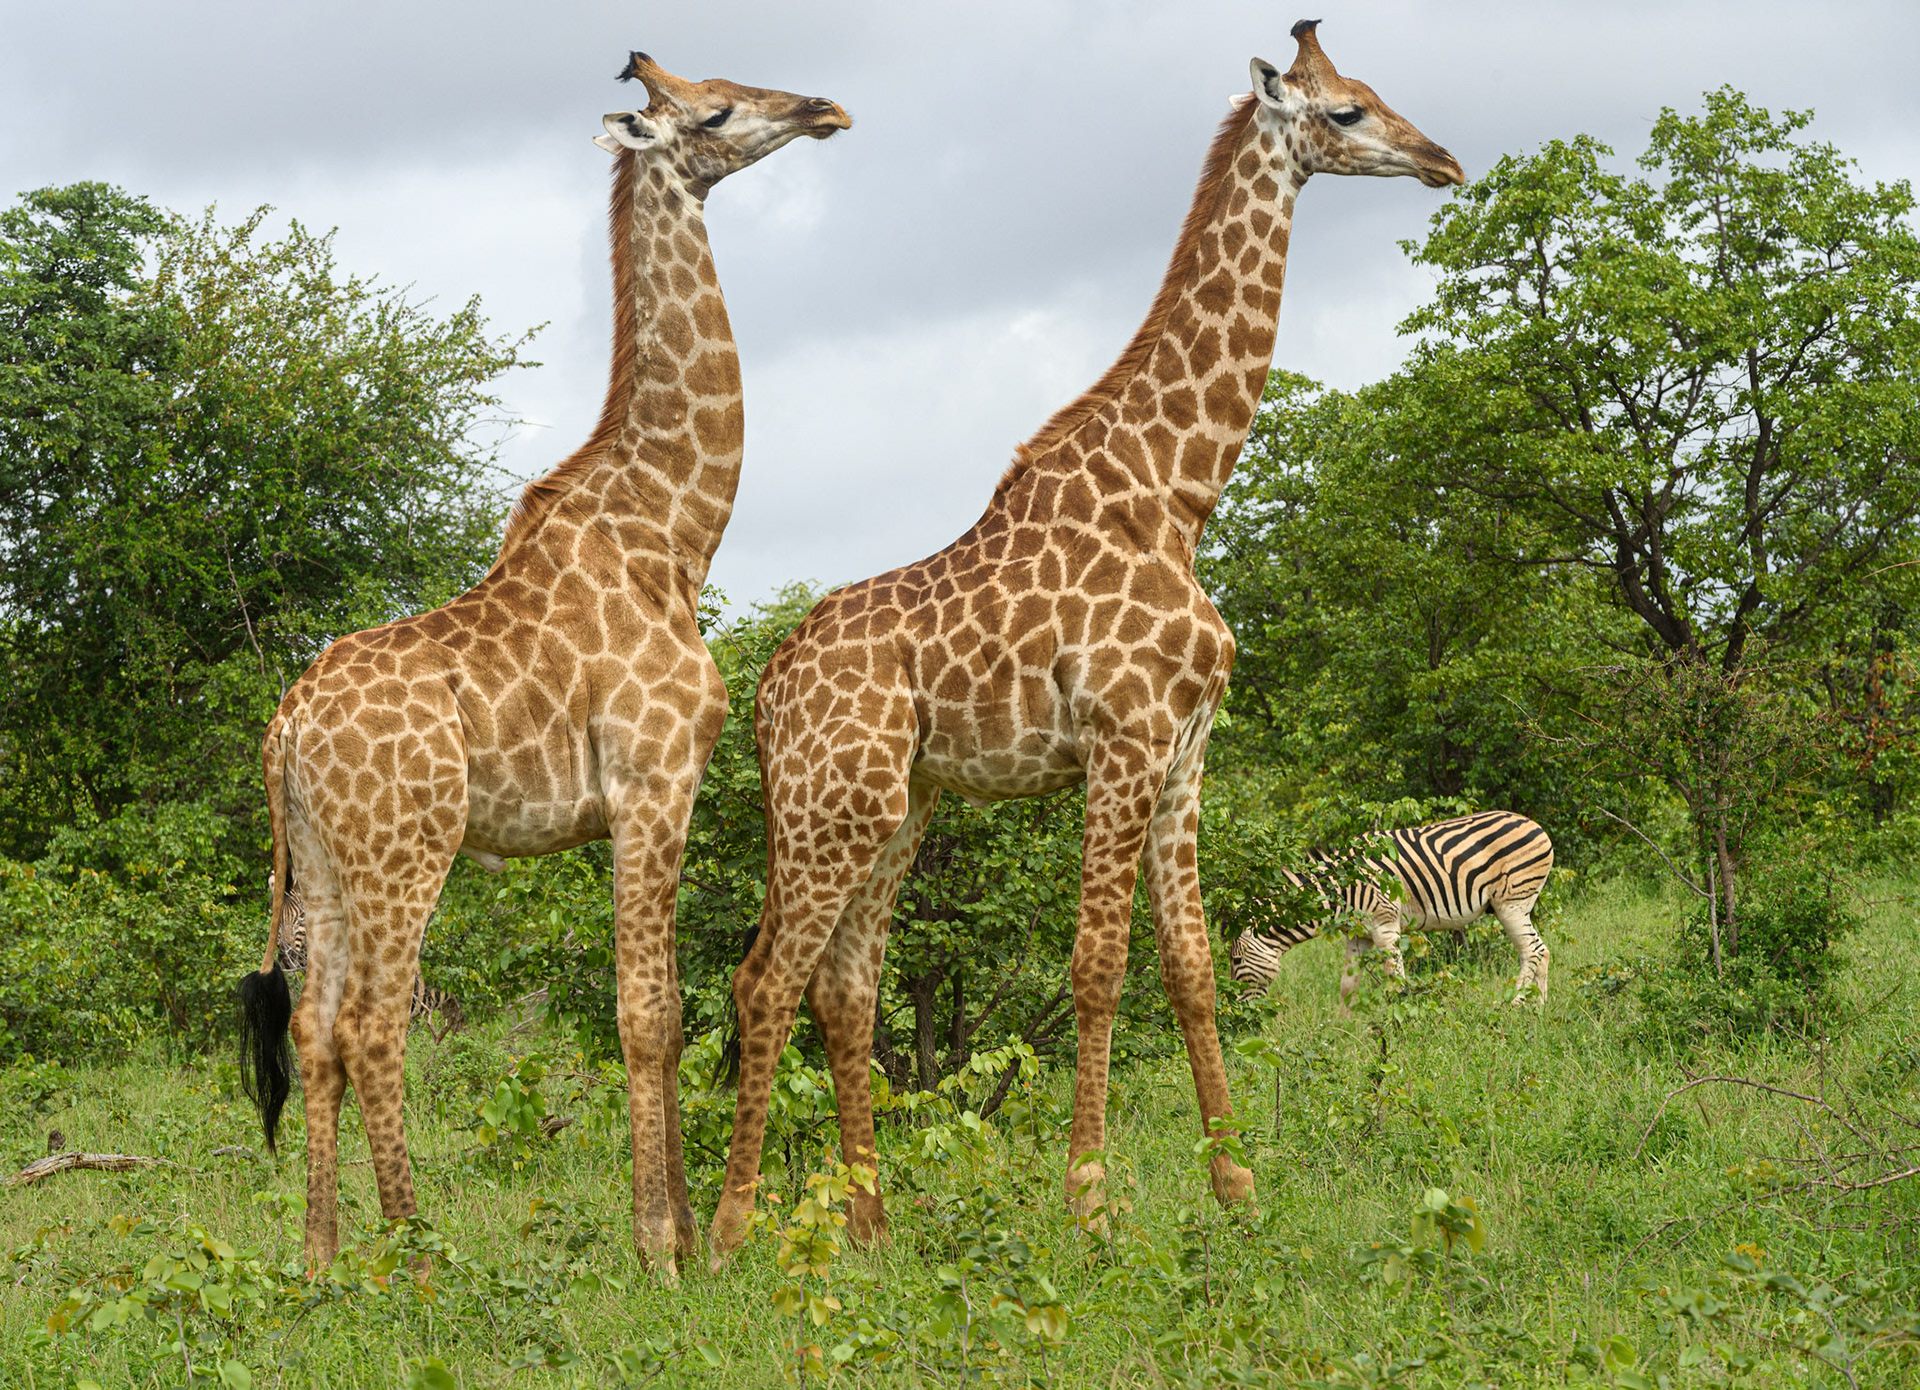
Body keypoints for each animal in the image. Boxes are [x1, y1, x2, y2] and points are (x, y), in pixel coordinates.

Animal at [234, 54, 850, 1275]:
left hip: (322, 862)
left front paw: (669, 1234)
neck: (673, 533)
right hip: (407, 846)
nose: (824, 111)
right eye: (715, 109)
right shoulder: (656, 784)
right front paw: (661, 1250)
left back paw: (325, 1257)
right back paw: (414, 1253)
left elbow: (658, 1007)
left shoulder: (631, 806)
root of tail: (286, 727)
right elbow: (648, 1014)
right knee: (374, 1025)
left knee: (317, 1029)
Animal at [706, 21, 1462, 1266]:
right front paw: (1092, 1202)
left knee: (846, 983)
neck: (1177, 494)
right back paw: (725, 1234)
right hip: (832, 804)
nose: (1442, 159)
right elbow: (1099, 968)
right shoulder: (1122, 739)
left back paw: (872, 1226)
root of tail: (765, 689)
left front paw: (1237, 1189)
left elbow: (1192, 966)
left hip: (895, 804)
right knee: (767, 977)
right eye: (1347, 110)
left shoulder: (1189, 750)